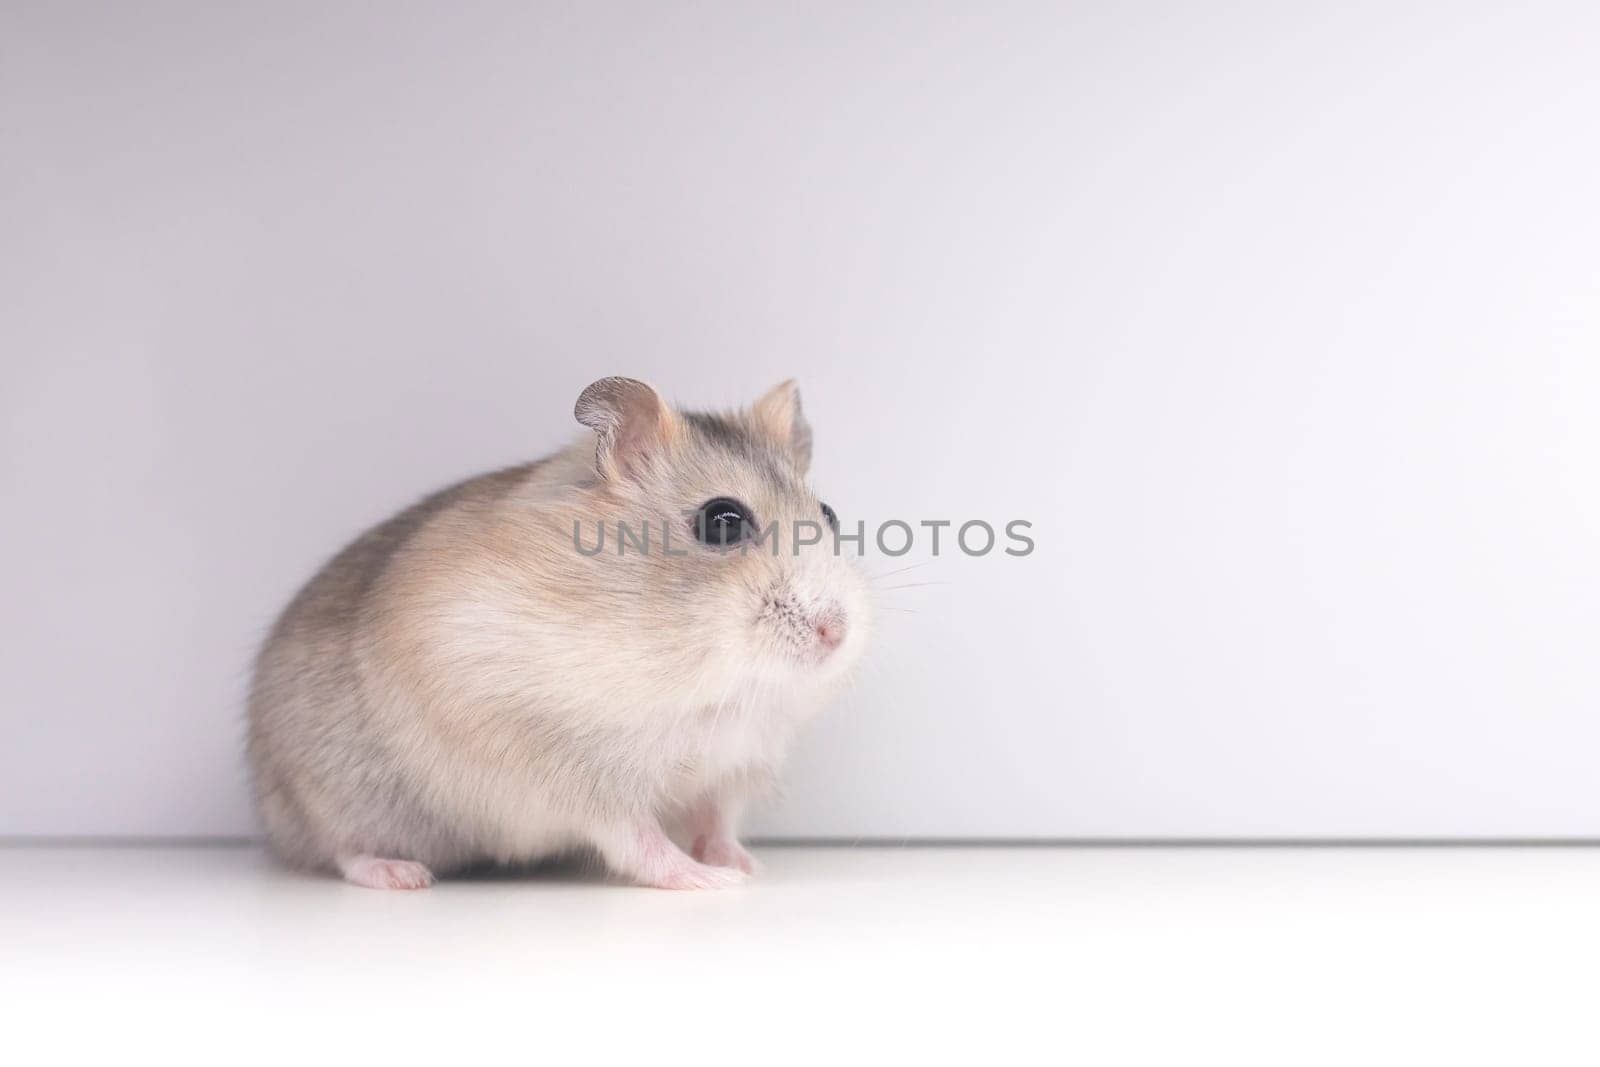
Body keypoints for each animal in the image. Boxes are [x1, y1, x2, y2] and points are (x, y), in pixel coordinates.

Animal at [248, 379, 870, 889]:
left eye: (830, 514)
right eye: (722, 521)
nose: (835, 632)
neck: (709, 691)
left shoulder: (731, 768)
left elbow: (718, 825)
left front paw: (745, 867)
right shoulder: (571, 771)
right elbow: (638, 840)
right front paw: (711, 882)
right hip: (333, 798)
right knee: (342, 850)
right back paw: (402, 875)